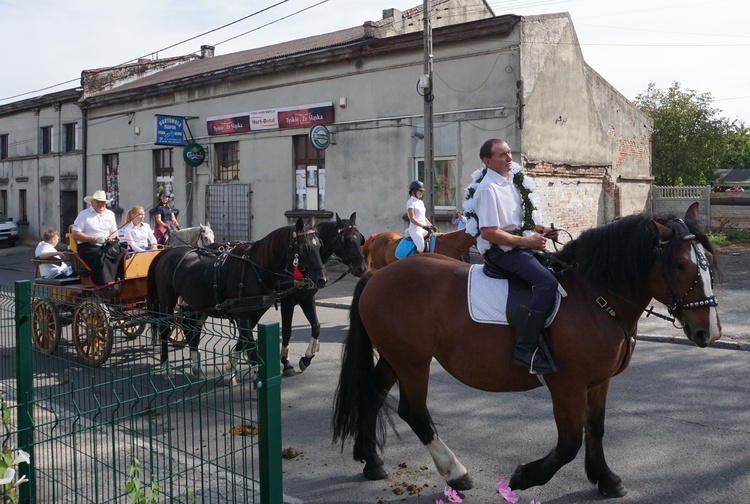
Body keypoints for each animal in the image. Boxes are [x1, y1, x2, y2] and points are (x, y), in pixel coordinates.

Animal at [334, 204, 724, 496]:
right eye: (680, 265)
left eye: (708, 258)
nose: (710, 332)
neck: (594, 296)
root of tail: (378, 274)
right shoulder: (567, 384)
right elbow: (569, 441)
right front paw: (525, 477)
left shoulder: (599, 381)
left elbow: (595, 428)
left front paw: (606, 478)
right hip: (413, 362)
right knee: (413, 411)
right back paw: (456, 473)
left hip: (395, 357)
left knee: (372, 392)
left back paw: (372, 461)